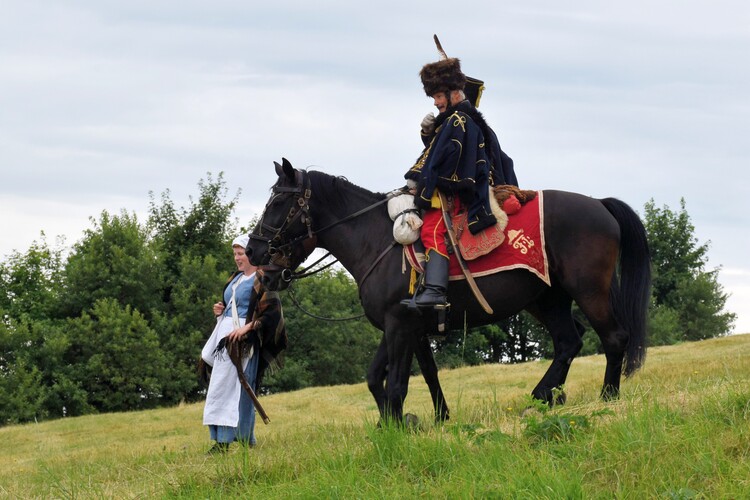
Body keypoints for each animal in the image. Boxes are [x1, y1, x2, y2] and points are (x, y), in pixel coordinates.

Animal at [248, 159, 652, 422]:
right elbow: (392, 377)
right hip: (547, 300)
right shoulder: (405, 327)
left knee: (613, 338)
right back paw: (544, 397)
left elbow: (396, 384)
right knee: (569, 341)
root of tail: (599, 204)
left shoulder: (400, 324)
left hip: (589, 291)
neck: (375, 240)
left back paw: (606, 400)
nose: (253, 252)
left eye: (278, 203)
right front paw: (419, 421)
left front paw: (398, 427)